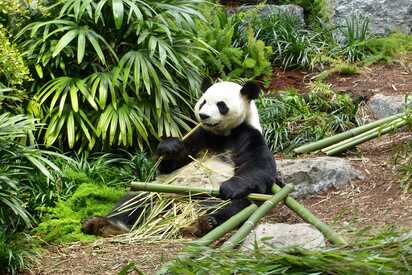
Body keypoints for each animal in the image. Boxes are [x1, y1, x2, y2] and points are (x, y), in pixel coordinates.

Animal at [81, 81, 280, 238]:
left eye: (221, 105)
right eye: (203, 102)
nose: (204, 116)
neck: (222, 134)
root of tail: (173, 205)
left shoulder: (248, 135)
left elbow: (259, 169)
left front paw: (230, 187)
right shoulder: (200, 134)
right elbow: (171, 164)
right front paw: (170, 147)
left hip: (214, 199)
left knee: (226, 207)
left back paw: (200, 224)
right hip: (159, 190)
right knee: (133, 201)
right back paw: (103, 225)